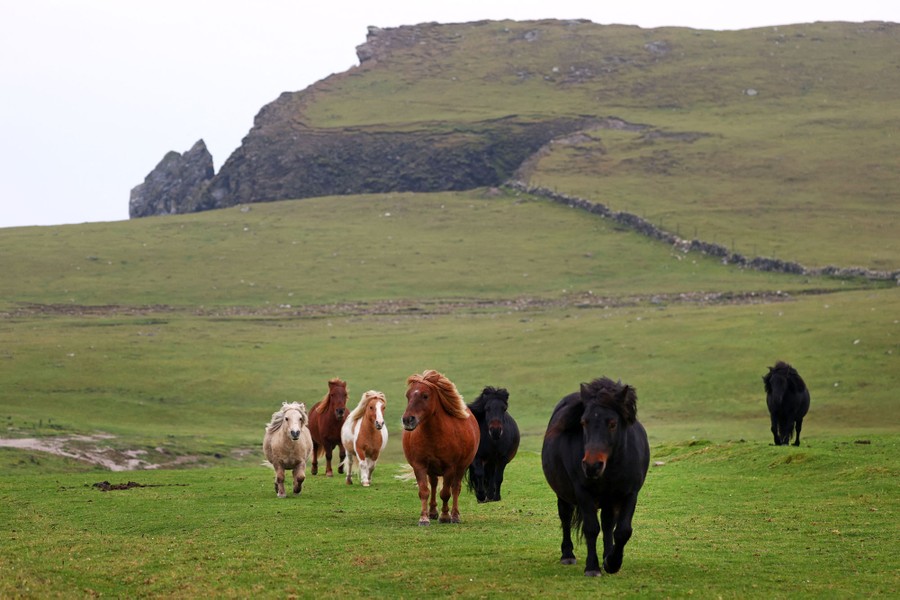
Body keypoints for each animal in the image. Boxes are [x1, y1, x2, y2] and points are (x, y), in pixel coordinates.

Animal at [402, 370, 480, 526]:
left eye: (425, 395)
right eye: (408, 395)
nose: (408, 420)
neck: (434, 436)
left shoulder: (450, 467)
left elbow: (445, 493)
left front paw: (445, 516)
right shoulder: (419, 466)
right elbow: (424, 491)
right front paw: (424, 518)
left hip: (460, 468)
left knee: (455, 488)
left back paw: (455, 515)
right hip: (432, 469)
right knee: (433, 485)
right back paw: (432, 512)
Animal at [542, 377, 650, 577]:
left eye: (613, 423)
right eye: (584, 422)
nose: (592, 466)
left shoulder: (630, 493)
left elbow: (622, 531)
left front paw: (612, 563)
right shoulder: (583, 492)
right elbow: (591, 528)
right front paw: (592, 567)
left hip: (609, 500)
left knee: (607, 525)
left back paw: (607, 555)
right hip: (564, 494)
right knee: (565, 517)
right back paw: (567, 555)